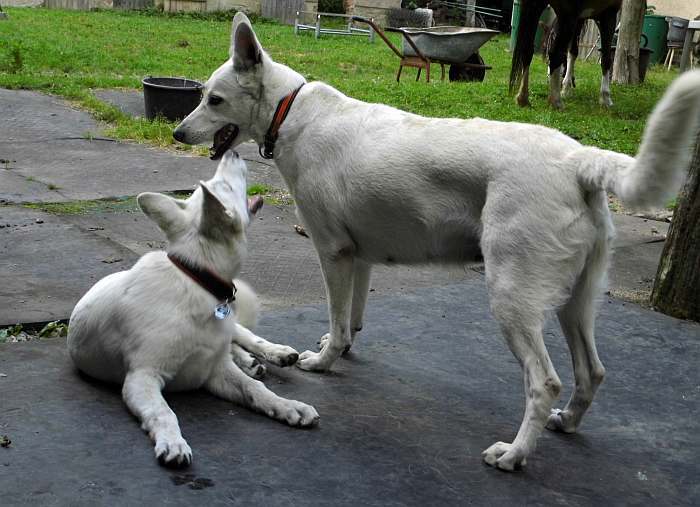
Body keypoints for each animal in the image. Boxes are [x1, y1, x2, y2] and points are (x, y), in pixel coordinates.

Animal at [67, 150, 318, 468]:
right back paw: (249, 361)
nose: (233, 152)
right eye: (225, 186)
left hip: (231, 327)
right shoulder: (142, 378)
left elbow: (256, 390)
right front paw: (172, 442)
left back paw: (273, 353)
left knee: (244, 335)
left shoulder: (216, 371)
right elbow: (164, 412)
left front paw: (288, 407)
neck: (196, 279)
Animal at [172, 12, 700, 472]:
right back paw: (567, 422)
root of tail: (580, 159)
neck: (291, 110)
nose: (176, 132)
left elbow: (339, 324)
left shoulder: (333, 253)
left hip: (512, 301)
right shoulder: (359, 258)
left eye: (213, 100)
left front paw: (321, 362)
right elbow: (352, 321)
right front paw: (338, 349)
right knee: (592, 372)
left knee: (545, 382)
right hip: (578, 304)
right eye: (199, 96)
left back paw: (514, 454)